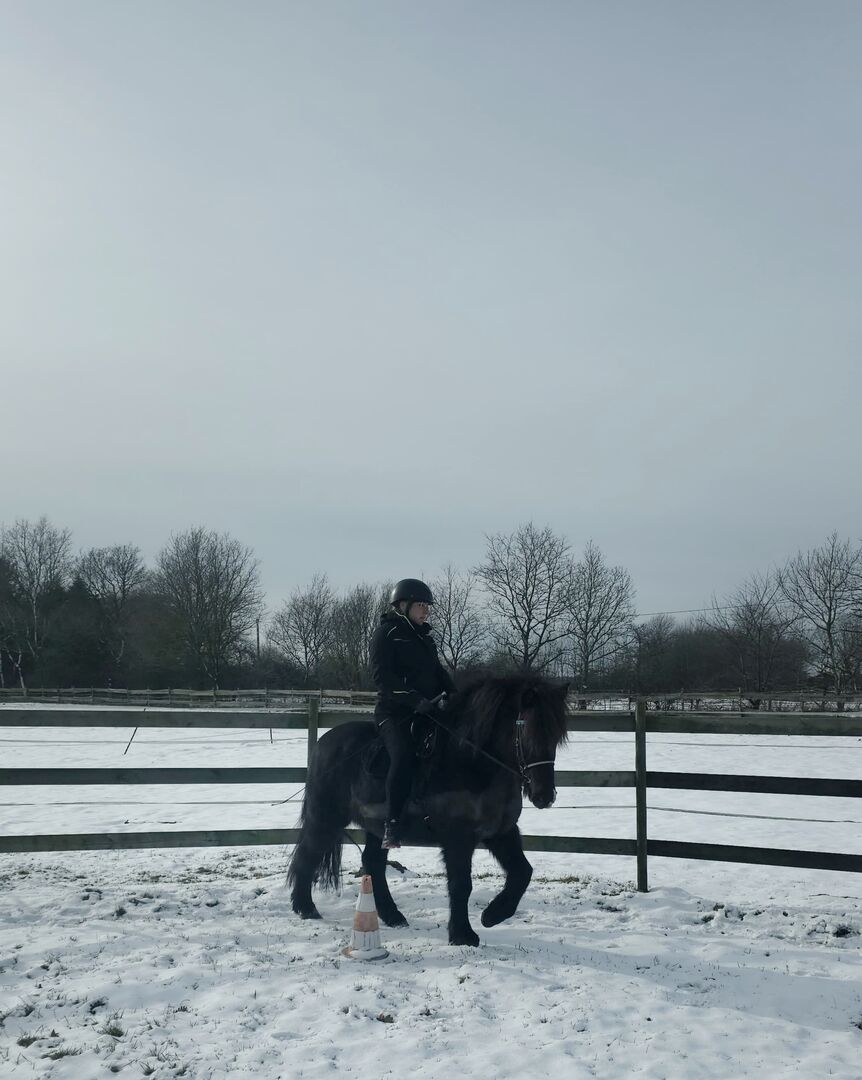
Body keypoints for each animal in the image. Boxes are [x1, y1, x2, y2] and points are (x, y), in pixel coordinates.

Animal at [287, 675, 569, 946]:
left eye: (557, 736)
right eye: (530, 732)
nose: (544, 796)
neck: (471, 763)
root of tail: (324, 742)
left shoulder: (501, 832)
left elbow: (523, 872)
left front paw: (492, 915)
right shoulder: (458, 838)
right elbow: (461, 885)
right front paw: (463, 935)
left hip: (376, 828)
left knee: (372, 864)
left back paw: (393, 916)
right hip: (325, 818)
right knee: (307, 855)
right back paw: (306, 908)